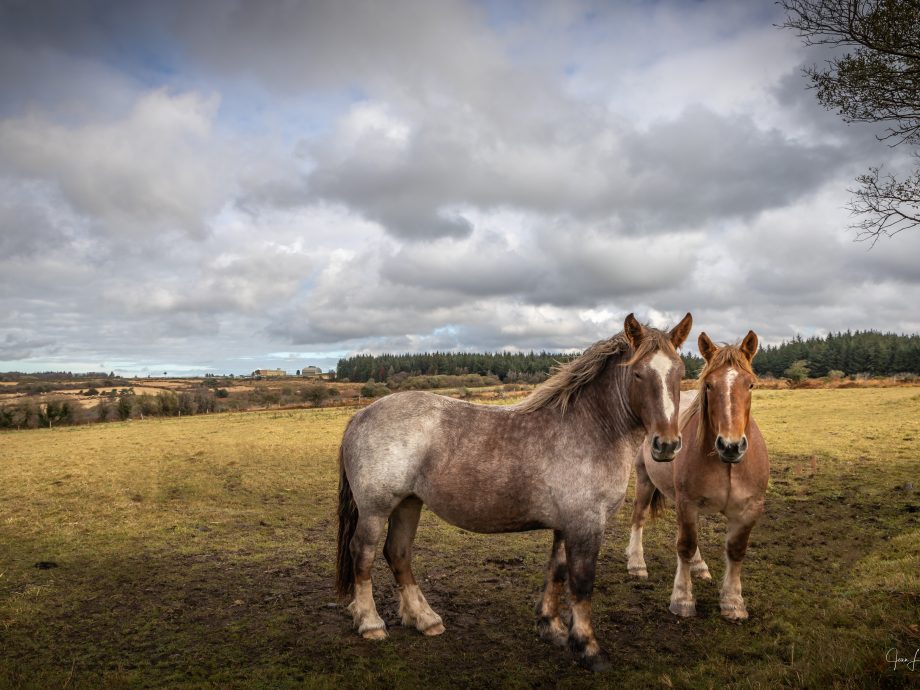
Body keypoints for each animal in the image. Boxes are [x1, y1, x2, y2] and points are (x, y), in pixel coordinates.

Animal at [335, 312, 693, 671]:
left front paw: (552, 628)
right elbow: (581, 584)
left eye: (679, 372)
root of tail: (361, 415)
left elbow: (557, 572)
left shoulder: (566, 525)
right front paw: (589, 648)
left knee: (398, 553)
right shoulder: (586, 523)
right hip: (376, 509)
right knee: (363, 554)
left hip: (408, 503)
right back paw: (371, 623)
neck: (590, 428)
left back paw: (425, 619)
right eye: (638, 373)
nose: (666, 445)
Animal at [625, 330, 769, 621]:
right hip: (645, 480)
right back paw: (636, 564)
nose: (731, 445)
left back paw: (699, 566)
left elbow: (736, 550)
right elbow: (685, 545)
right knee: (639, 516)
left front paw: (733, 602)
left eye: (750, 385)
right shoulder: (687, 502)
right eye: (710, 385)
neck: (727, 465)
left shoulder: (749, 509)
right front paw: (682, 599)